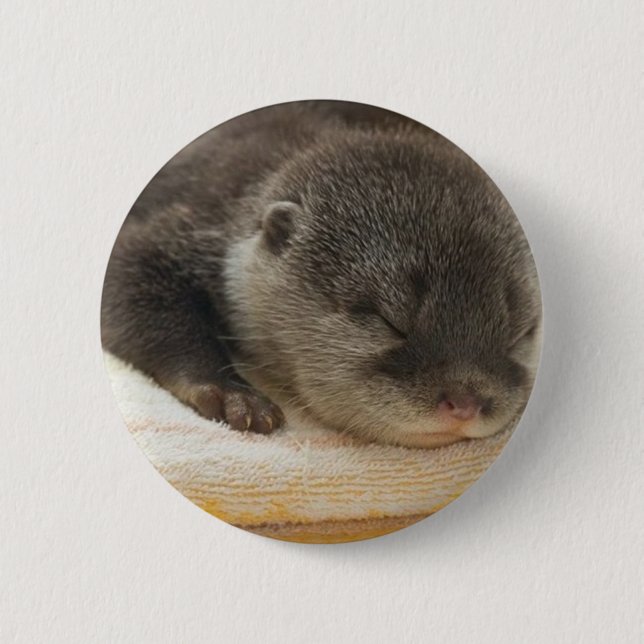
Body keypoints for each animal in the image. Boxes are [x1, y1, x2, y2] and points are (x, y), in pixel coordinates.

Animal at [101, 100, 541, 449]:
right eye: (388, 321)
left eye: (518, 334)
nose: (466, 403)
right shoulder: (188, 222)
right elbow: (129, 278)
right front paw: (231, 393)